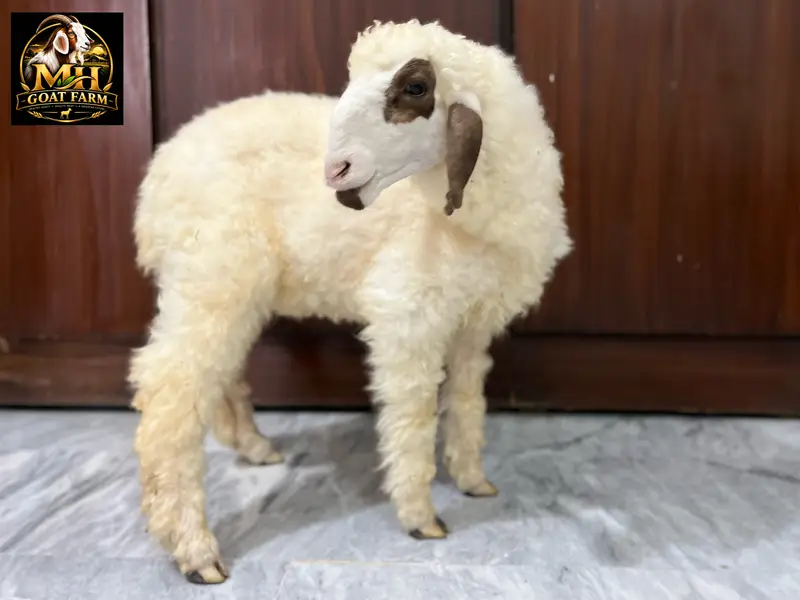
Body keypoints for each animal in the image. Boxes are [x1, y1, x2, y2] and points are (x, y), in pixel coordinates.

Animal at [128, 19, 572, 584]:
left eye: (415, 87)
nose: (335, 171)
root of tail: (158, 177)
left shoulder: (472, 323)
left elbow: (468, 403)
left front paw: (473, 479)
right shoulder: (408, 314)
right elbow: (412, 417)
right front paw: (421, 517)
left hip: (226, 288)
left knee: (220, 376)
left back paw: (253, 447)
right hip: (210, 276)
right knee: (171, 396)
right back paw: (194, 548)